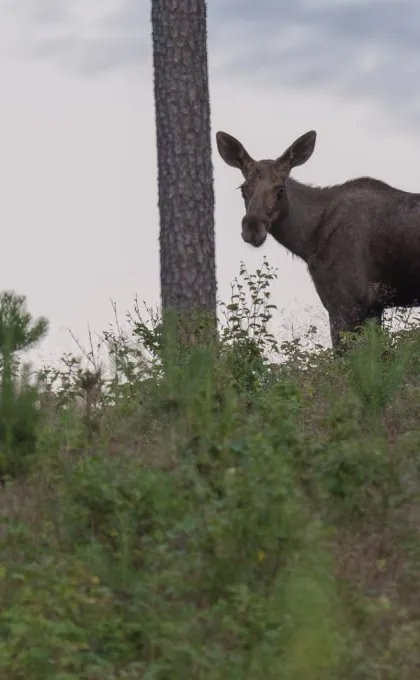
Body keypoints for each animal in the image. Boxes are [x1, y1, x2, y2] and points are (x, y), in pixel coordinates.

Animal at [217, 128, 420, 350]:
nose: (252, 228)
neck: (308, 243)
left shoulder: (347, 300)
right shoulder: (374, 306)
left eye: (280, 189)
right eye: (243, 189)